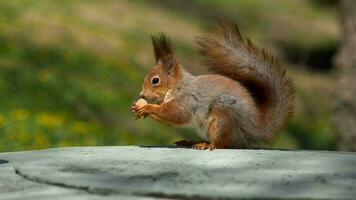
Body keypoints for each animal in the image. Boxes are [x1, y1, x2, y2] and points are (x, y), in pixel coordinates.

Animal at [131, 19, 294, 150]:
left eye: (155, 80)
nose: (141, 94)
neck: (178, 85)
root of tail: (254, 129)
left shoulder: (186, 100)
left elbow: (176, 114)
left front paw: (147, 107)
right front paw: (139, 109)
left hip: (223, 116)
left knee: (223, 144)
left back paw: (207, 144)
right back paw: (191, 142)